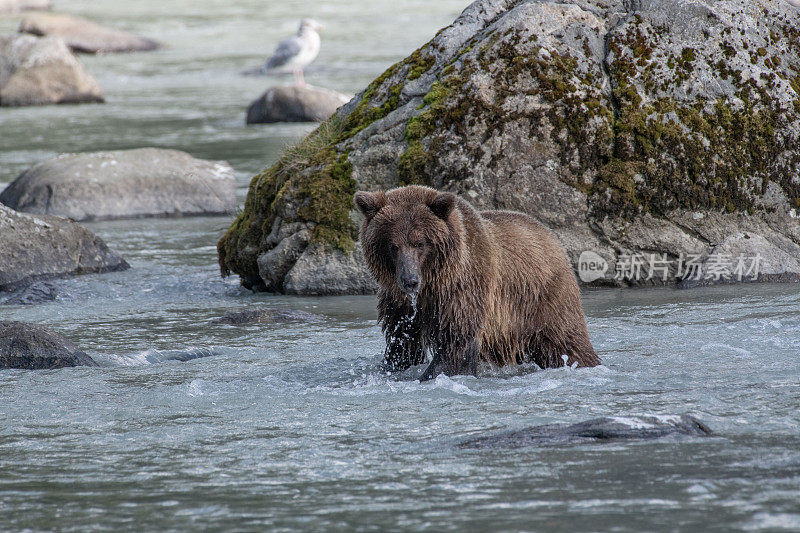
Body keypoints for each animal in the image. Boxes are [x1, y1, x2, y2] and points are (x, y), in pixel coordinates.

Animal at [354, 185, 596, 380]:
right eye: (393, 246)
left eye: (420, 243)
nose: (410, 281)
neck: (432, 284)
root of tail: (552, 236)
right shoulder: (399, 305)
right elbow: (402, 346)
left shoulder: (464, 289)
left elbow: (455, 342)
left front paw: (429, 375)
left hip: (543, 299)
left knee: (567, 342)